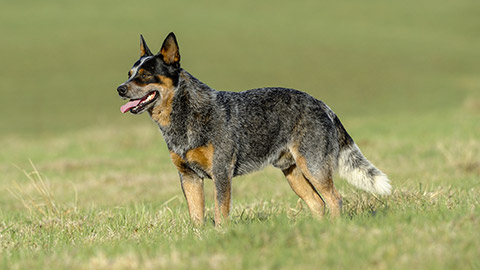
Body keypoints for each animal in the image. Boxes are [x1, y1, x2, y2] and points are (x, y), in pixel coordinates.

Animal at [116, 32, 390, 226]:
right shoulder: (188, 176)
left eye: (145, 75)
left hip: (314, 167)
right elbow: (197, 218)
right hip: (293, 174)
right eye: (129, 73)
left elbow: (220, 212)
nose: (120, 88)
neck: (185, 115)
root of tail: (323, 104)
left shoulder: (221, 171)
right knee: (317, 204)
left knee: (335, 199)